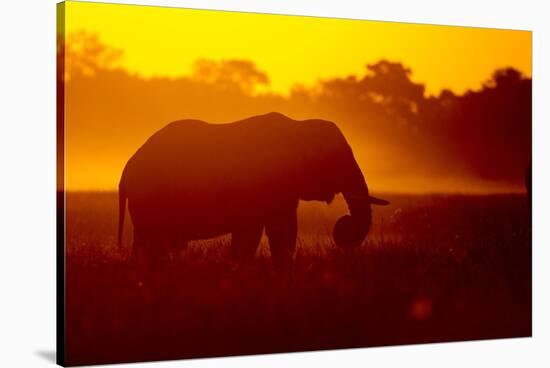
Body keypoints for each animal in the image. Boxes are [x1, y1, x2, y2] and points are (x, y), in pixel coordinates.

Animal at [118, 110, 390, 268]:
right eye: (338, 159)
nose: (343, 226)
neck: (299, 128)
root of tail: (128, 167)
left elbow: (277, 229)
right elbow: (267, 229)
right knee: (152, 241)